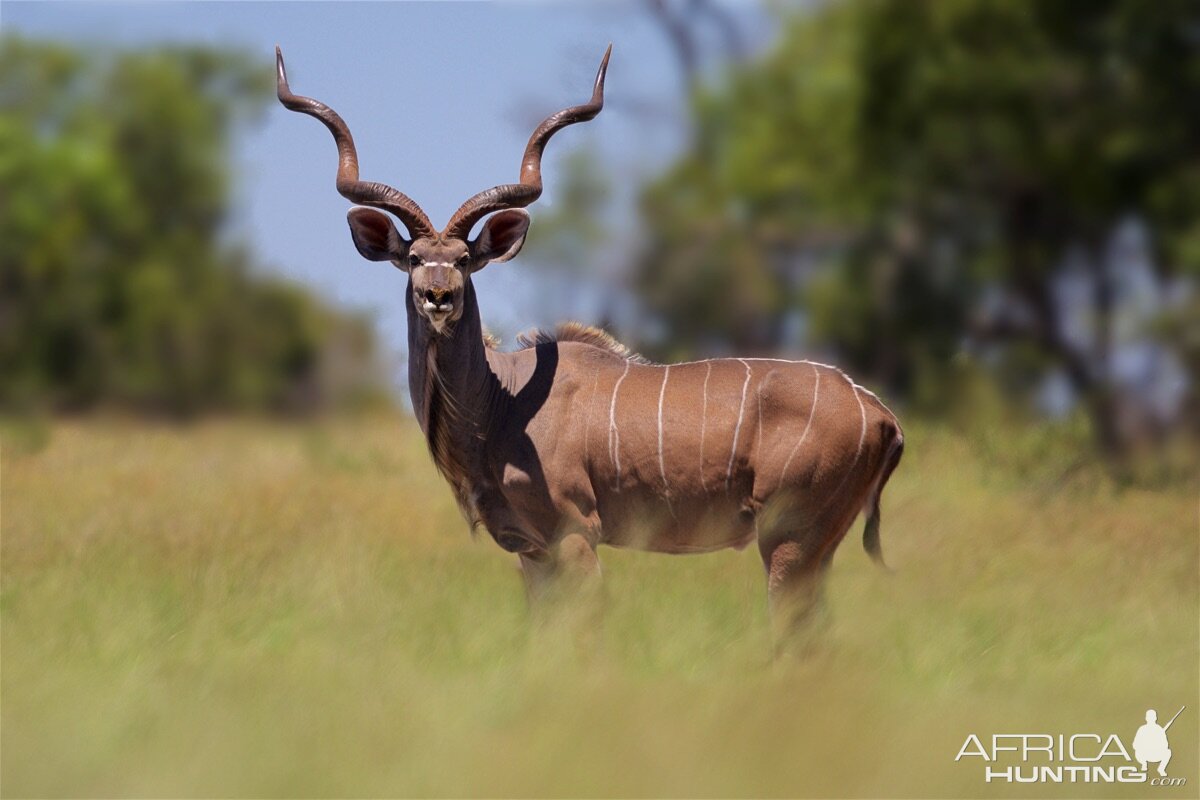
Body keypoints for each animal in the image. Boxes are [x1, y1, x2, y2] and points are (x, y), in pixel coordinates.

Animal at [278, 47, 902, 642]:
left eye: (463, 260)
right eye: (412, 258)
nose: (438, 296)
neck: (500, 402)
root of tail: (879, 413)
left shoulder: (575, 534)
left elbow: (585, 631)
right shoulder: (530, 552)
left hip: (788, 539)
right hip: (812, 546)